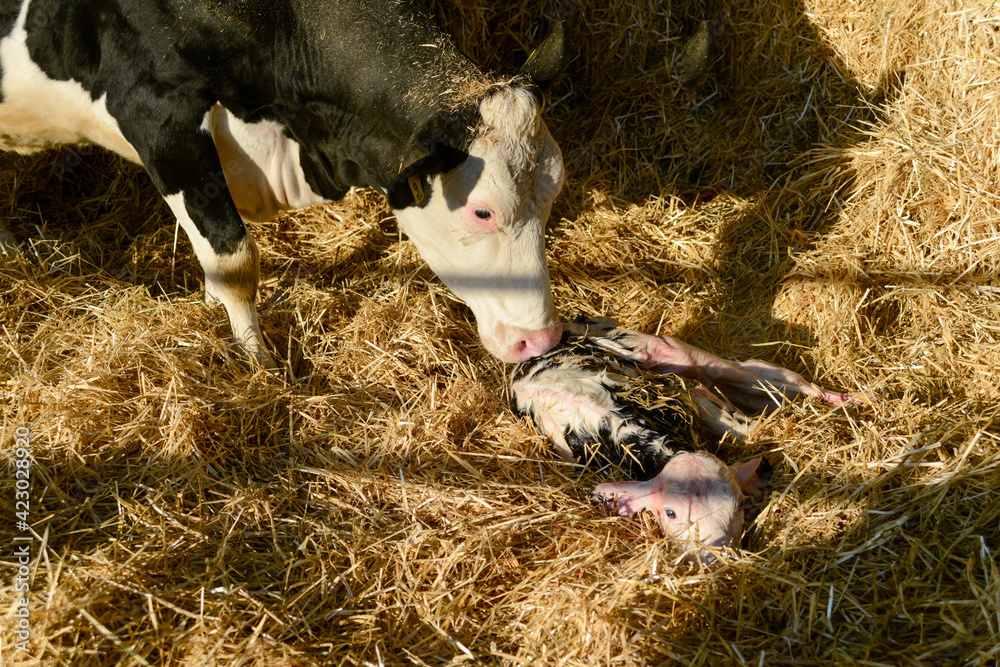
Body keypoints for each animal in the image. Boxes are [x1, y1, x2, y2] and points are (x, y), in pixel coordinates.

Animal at [0, 0, 568, 367]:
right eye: (482, 211)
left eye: (553, 192)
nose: (541, 342)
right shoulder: (155, 112)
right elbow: (234, 258)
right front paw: (259, 363)